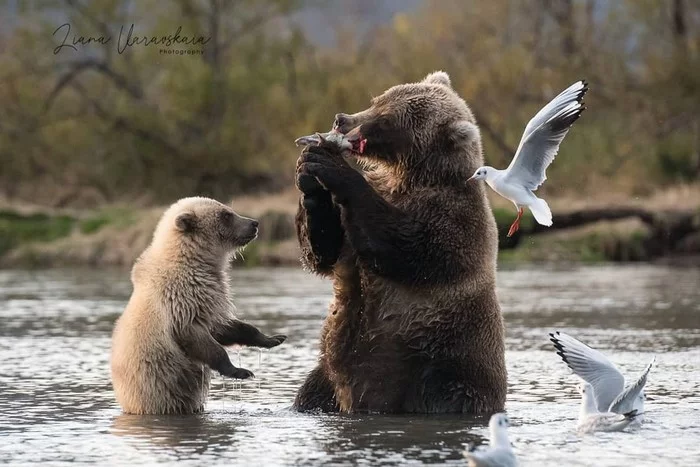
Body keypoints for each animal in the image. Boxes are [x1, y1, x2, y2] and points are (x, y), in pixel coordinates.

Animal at [110, 196, 286, 414]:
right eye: (226, 215)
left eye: (229, 210)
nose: (254, 223)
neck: (194, 261)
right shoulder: (181, 303)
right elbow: (202, 341)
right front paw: (241, 371)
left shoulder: (207, 302)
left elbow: (226, 327)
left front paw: (273, 338)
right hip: (157, 392)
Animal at [292, 71, 506, 414]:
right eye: (377, 100)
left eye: (385, 120)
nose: (341, 119)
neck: (413, 177)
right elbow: (326, 252)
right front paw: (311, 181)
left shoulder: (453, 219)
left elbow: (407, 248)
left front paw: (333, 168)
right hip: (326, 377)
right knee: (311, 393)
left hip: (442, 364)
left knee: (444, 394)